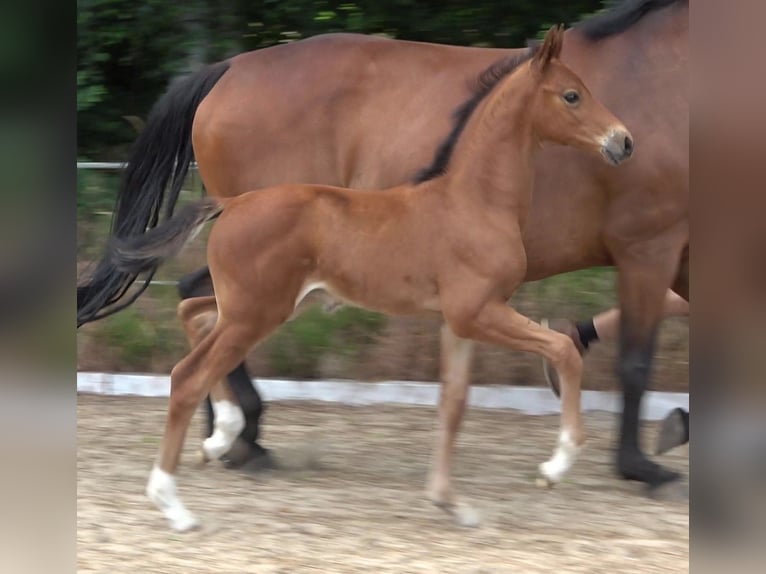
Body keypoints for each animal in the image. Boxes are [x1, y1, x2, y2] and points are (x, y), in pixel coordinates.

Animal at [78, 2, 688, 492]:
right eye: (572, 94)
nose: (622, 141)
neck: (471, 195)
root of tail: (228, 70)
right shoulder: (630, 252)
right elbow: (607, 354)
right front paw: (605, 464)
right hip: (263, 304)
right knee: (197, 338)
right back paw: (234, 436)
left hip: (268, 300)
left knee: (193, 309)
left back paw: (226, 435)